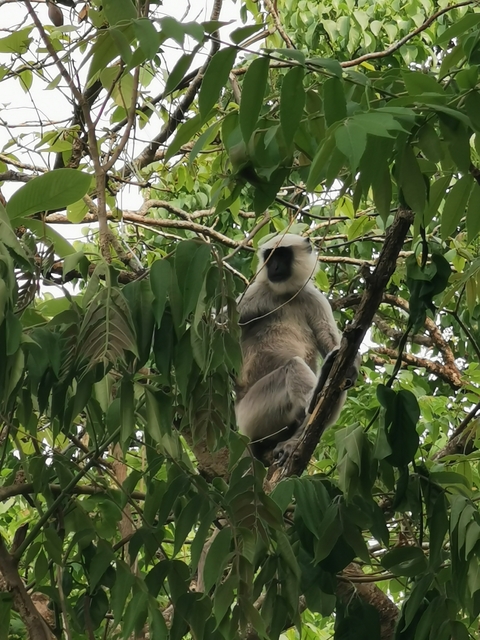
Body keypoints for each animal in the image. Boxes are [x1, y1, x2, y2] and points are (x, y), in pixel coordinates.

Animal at [235, 233, 360, 464]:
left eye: (283, 255)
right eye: (271, 257)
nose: (274, 266)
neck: (286, 295)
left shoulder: (312, 297)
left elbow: (332, 342)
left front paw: (352, 365)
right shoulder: (255, 294)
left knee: (339, 380)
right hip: (252, 413)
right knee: (292, 365)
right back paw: (316, 393)